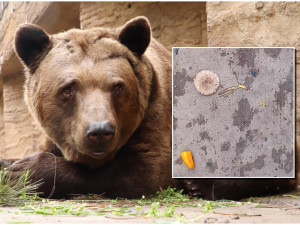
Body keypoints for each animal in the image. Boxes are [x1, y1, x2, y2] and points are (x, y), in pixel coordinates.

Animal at [11, 15, 298, 200]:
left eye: (117, 87)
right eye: (68, 89)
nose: (99, 131)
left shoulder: (156, 117)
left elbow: (139, 172)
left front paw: (23, 170)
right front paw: (13, 165)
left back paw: (201, 185)